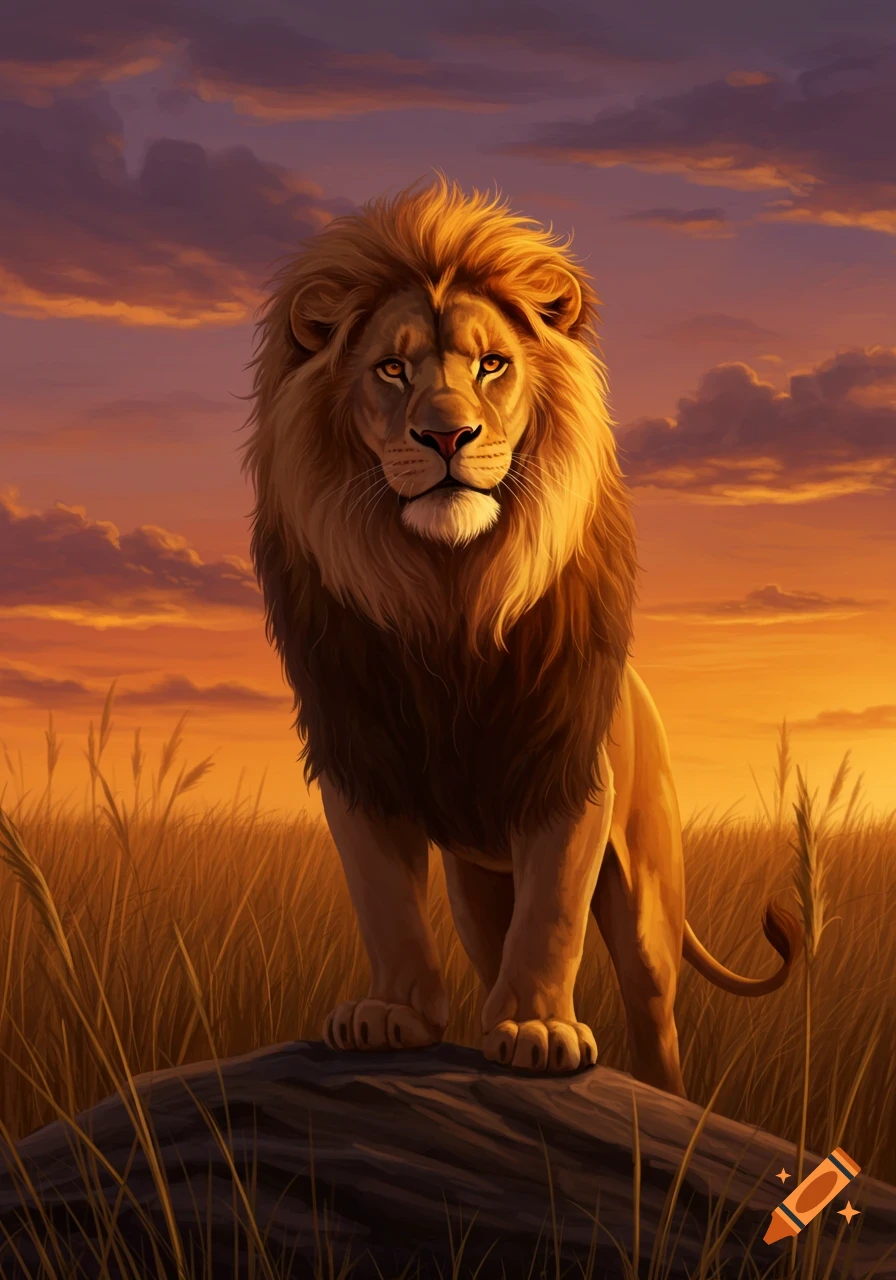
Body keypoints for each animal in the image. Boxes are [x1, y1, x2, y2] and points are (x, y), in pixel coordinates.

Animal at [242, 176, 801, 1097]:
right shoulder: (361, 756)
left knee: (654, 1008)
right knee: (485, 934)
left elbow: (553, 913)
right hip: (475, 885)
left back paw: (656, 1090)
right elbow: (385, 901)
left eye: (491, 365)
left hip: (649, 896)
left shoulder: (566, 763)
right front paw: (392, 1013)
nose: (445, 435)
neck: (450, 596)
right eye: (391, 369)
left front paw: (538, 1029)